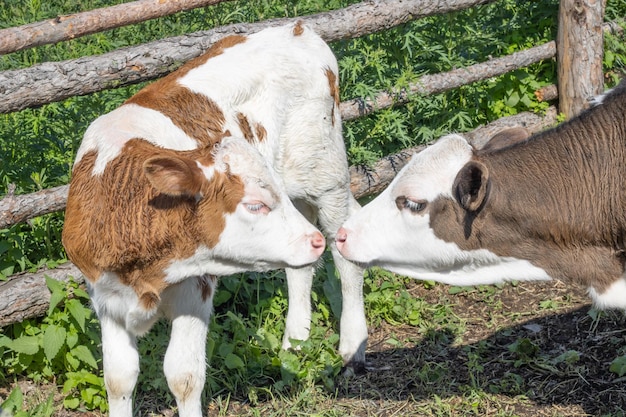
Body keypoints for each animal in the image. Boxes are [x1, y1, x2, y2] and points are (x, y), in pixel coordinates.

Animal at [63, 22, 366, 416]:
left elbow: (184, 376)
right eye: (255, 205)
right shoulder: (105, 296)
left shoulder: (196, 286)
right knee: (302, 262)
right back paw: (295, 343)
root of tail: (297, 28)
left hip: (326, 176)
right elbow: (119, 378)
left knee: (345, 249)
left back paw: (352, 349)